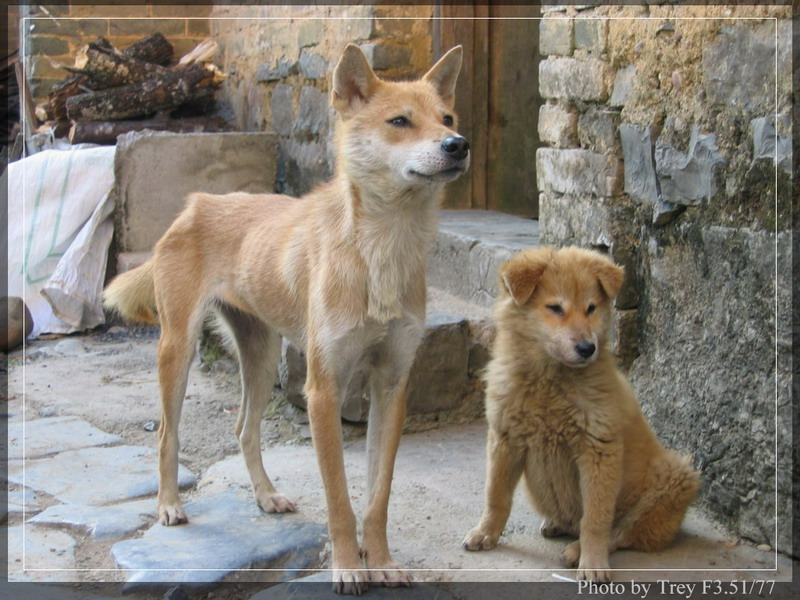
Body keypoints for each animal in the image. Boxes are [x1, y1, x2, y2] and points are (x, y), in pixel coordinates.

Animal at [103, 44, 469, 595]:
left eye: (447, 118)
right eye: (400, 121)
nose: (458, 145)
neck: (382, 247)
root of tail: (197, 203)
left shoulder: (392, 386)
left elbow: (377, 496)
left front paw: (380, 560)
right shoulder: (322, 390)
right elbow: (340, 498)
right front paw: (347, 565)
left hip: (261, 355)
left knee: (244, 429)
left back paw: (265, 495)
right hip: (178, 349)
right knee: (168, 433)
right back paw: (169, 505)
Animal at [463, 246, 698, 582]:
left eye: (591, 309)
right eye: (555, 308)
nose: (588, 348)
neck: (550, 381)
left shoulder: (598, 449)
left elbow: (596, 518)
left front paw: (592, 562)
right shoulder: (504, 437)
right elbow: (496, 495)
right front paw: (486, 533)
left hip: (674, 479)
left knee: (621, 532)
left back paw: (577, 550)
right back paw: (556, 524)